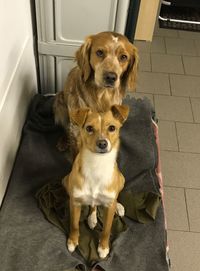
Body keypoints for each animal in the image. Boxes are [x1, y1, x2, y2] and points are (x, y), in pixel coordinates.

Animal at [61, 104, 129, 260]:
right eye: (89, 128)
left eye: (112, 128)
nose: (102, 143)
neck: (96, 164)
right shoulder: (75, 202)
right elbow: (74, 225)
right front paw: (73, 241)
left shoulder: (108, 207)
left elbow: (106, 230)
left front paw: (103, 247)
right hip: (65, 181)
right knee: (93, 204)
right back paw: (92, 218)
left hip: (122, 179)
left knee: (113, 197)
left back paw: (118, 206)